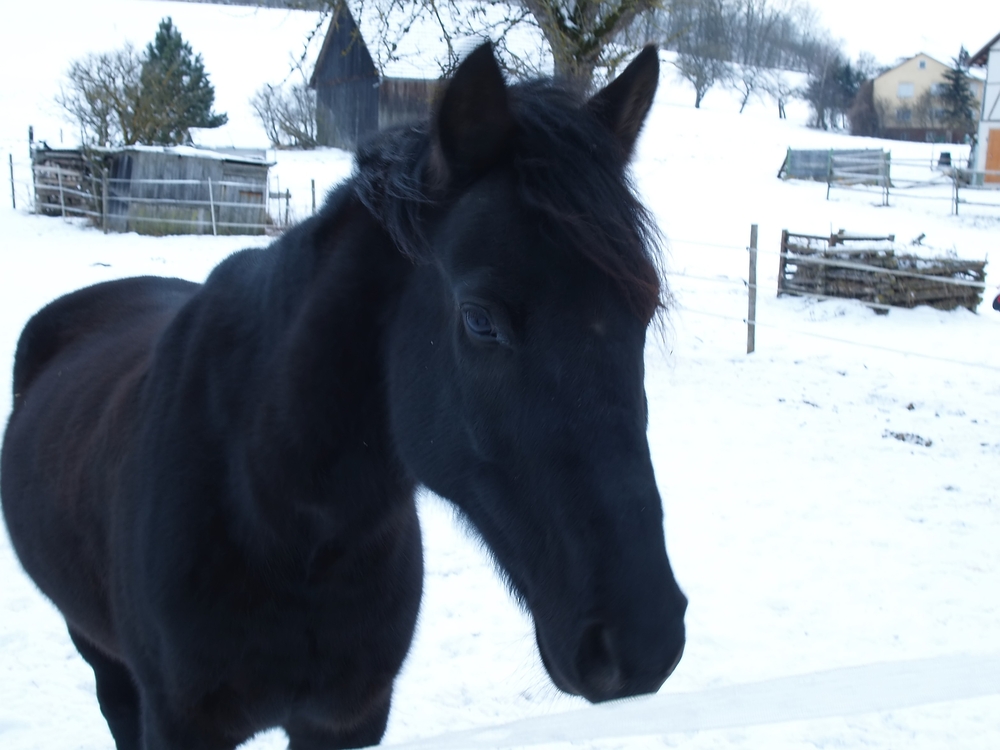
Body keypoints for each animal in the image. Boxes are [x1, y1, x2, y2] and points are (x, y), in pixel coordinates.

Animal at [0, 44, 688, 748]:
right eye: (479, 319)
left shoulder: (349, 717)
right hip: (98, 652)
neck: (275, 511)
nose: (645, 640)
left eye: (646, 308)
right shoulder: (180, 722)